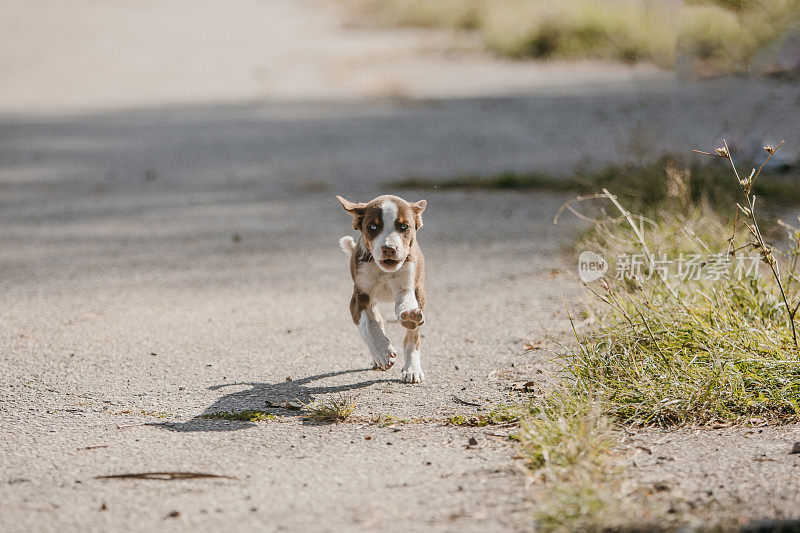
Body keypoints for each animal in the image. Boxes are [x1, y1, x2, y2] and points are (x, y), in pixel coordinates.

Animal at [336, 194, 428, 382]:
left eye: (404, 226)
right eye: (372, 226)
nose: (389, 249)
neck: (383, 271)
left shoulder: (406, 289)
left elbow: (406, 310)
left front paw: (409, 317)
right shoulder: (359, 297)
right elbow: (369, 325)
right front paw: (383, 352)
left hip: (419, 292)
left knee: (413, 335)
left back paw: (412, 369)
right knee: (377, 319)